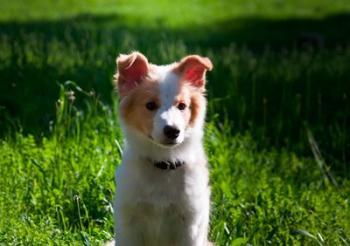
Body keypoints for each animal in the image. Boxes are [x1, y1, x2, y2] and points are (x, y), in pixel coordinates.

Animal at [113, 51, 212, 245]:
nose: (173, 131)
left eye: (182, 106)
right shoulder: (129, 223)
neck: (164, 162)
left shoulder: (190, 225)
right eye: (150, 105)